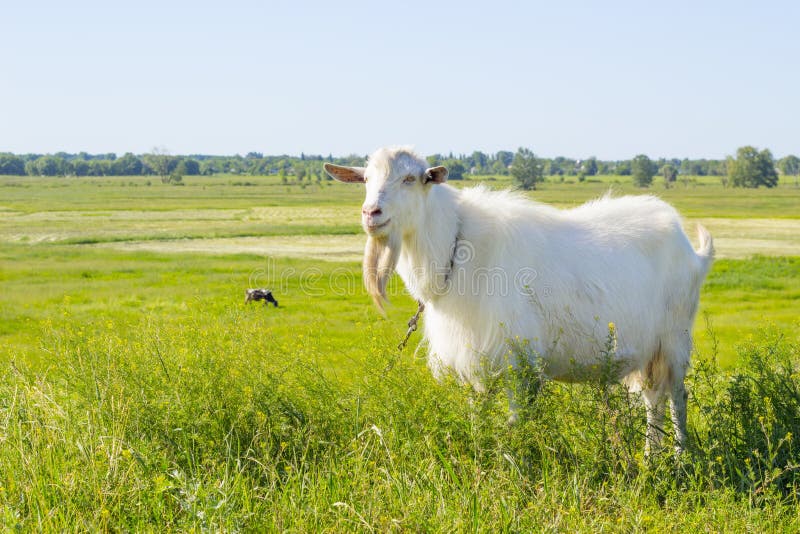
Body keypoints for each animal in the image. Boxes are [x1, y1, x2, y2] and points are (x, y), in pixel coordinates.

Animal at [324, 147, 712, 456]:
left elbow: (515, 422)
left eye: (410, 178)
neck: (455, 247)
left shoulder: (518, 360)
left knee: (677, 397)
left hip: (675, 339)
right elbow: (478, 418)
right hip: (649, 350)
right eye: (366, 179)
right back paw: (650, 457)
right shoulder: (474, 359)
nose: (371, 213)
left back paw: (680, 458)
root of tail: (690, 248)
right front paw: (480, 459)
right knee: (653, 399)